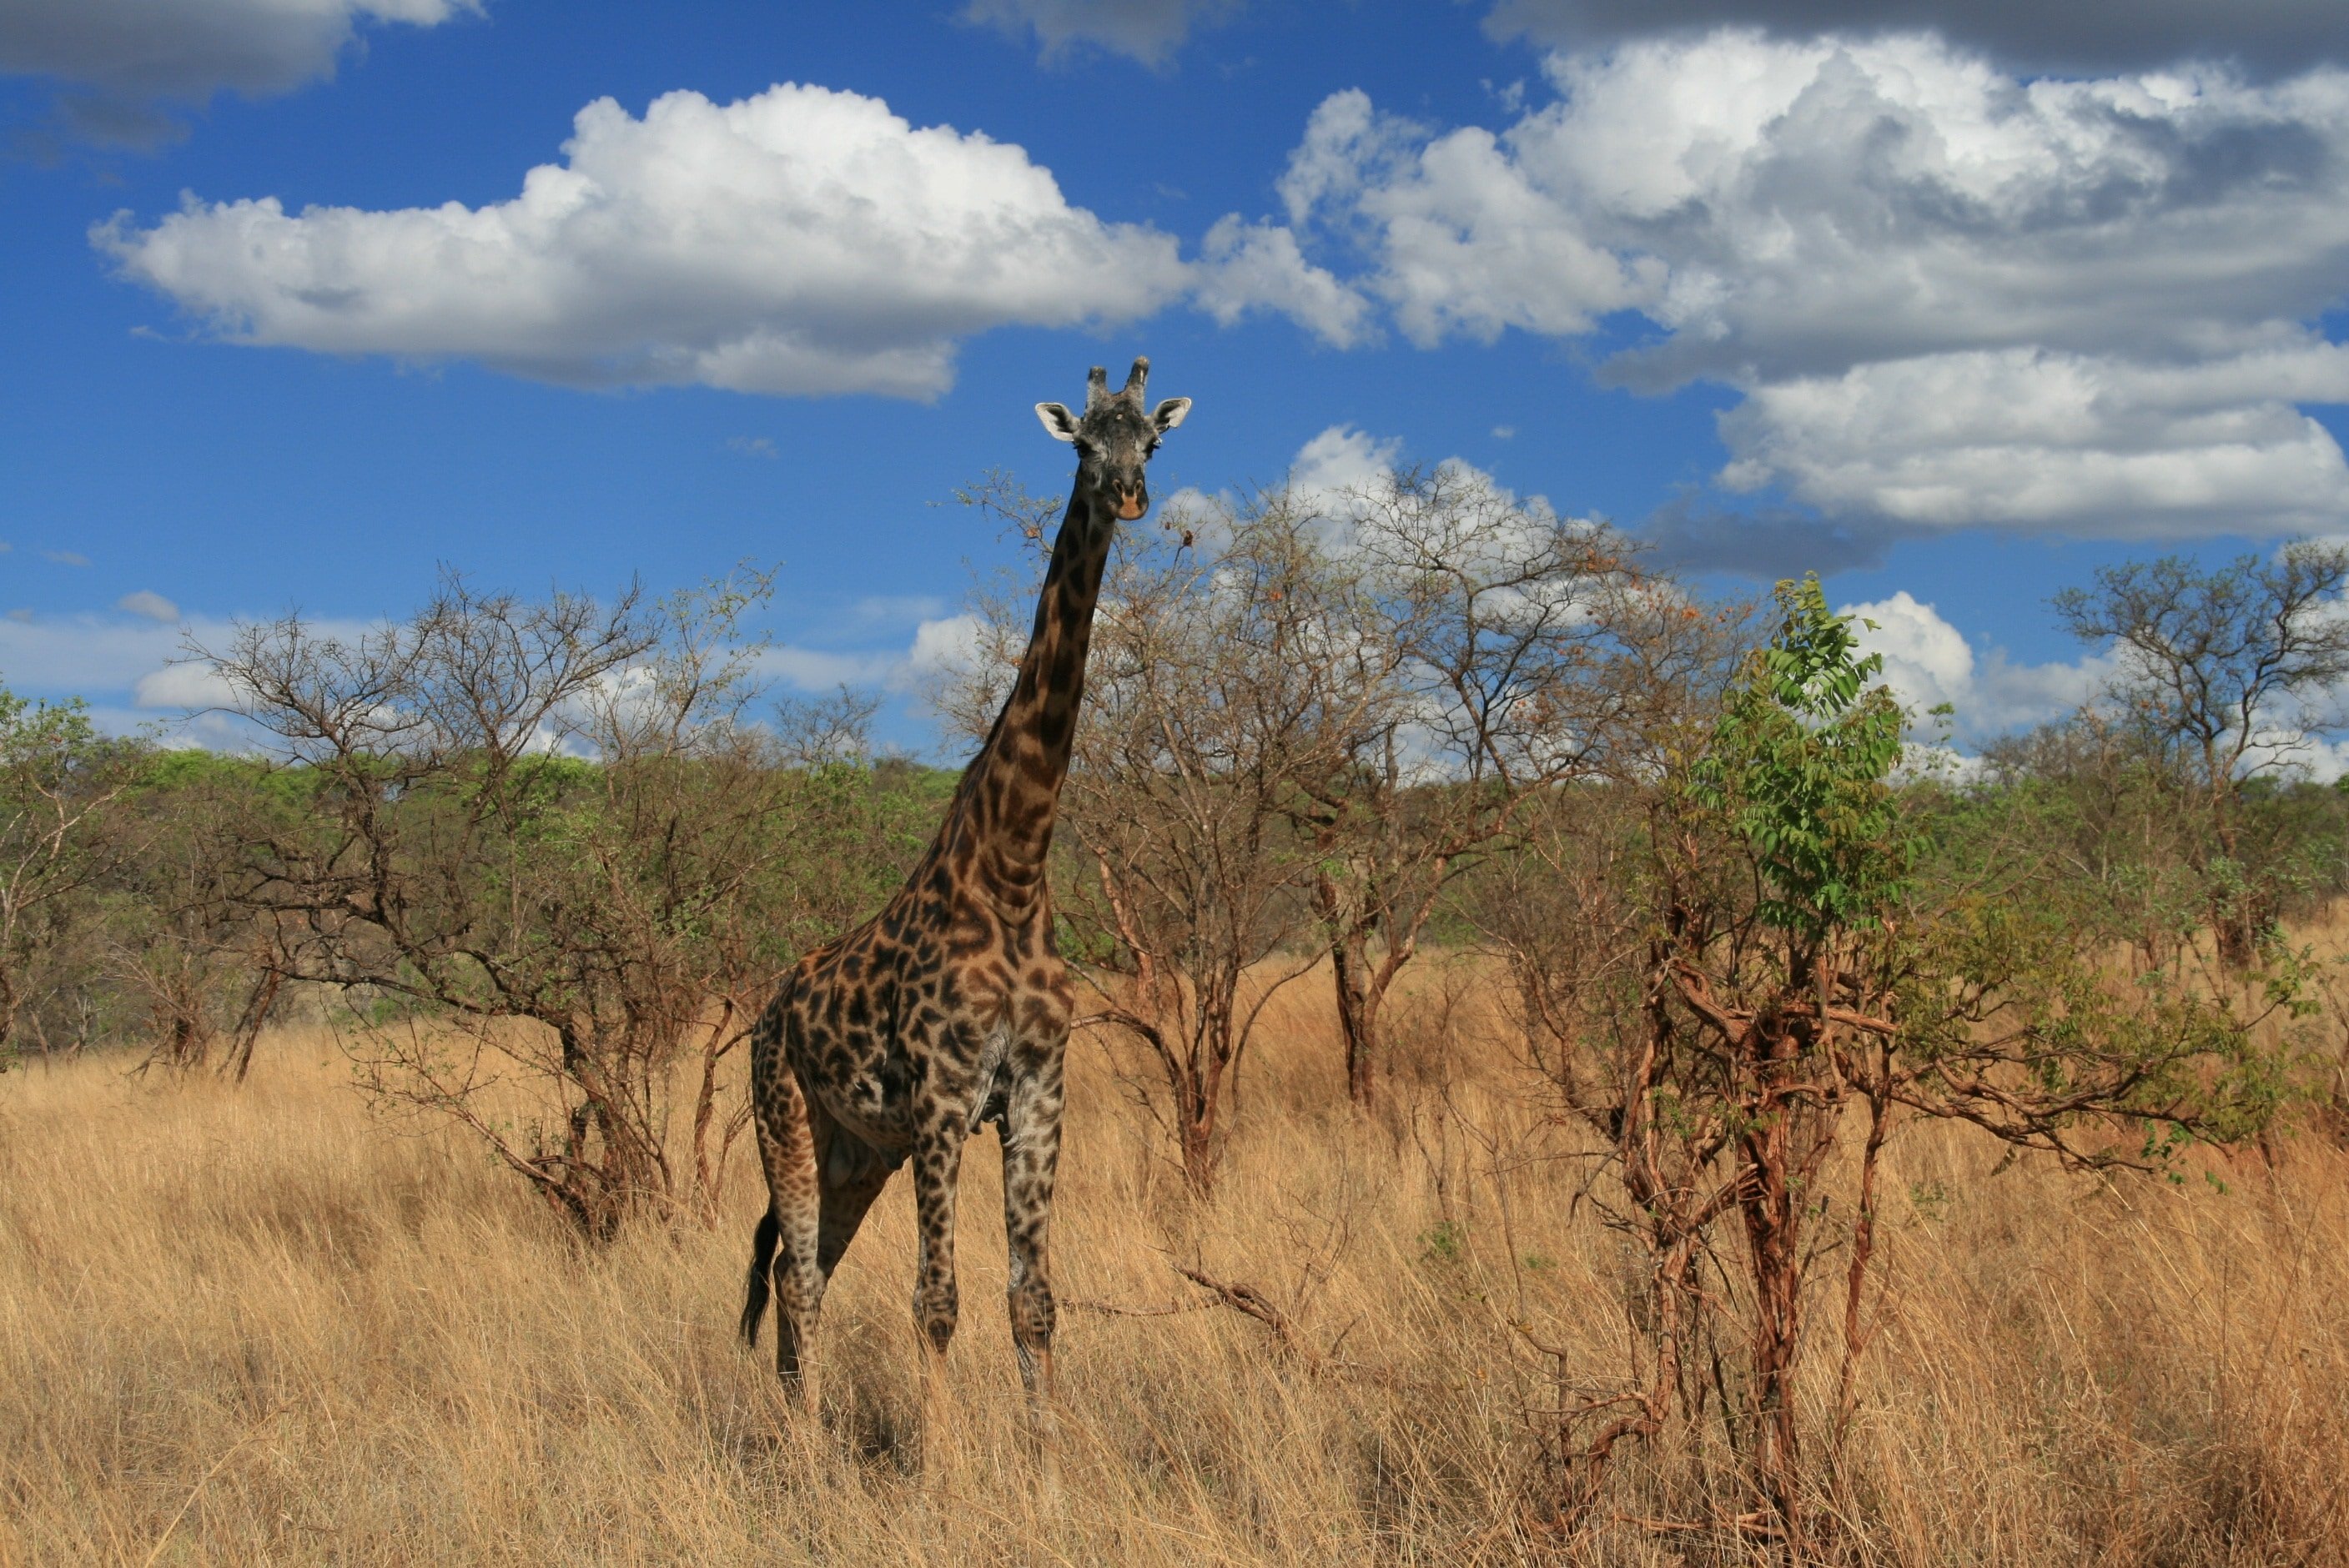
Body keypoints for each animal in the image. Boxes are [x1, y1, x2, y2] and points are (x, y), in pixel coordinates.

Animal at [742, 354, 1193, 1436]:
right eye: (1082, 442)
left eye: (1153, 441)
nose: (1128, 495)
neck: (1013, 872)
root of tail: (765, 1007)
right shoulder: (944, 1097)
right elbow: (935, 1299)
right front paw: (942, 1460)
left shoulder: (1036, 1088)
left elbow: (1034, 1298)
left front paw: (1047, 1456)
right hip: (785, 1117)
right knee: (798, 1275)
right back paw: (805, 1451)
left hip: (860, 1148)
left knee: (802, 1269)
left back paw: (798, 1426)